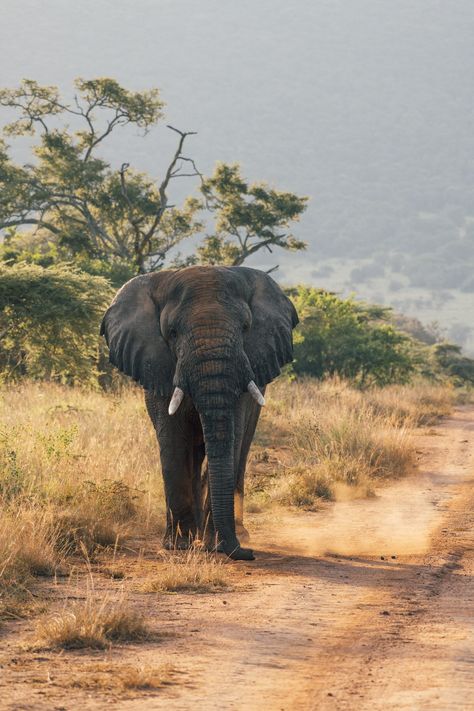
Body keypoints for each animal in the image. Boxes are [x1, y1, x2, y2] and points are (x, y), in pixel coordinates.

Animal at [101, 268, 298, 560]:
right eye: (172, 333)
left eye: (245, 328)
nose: (246, 553)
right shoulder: (159, 367)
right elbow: (173, 440)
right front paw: (178, 546)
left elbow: (232, 438)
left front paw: (212, 543)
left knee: (240, 451)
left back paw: (235, 533)